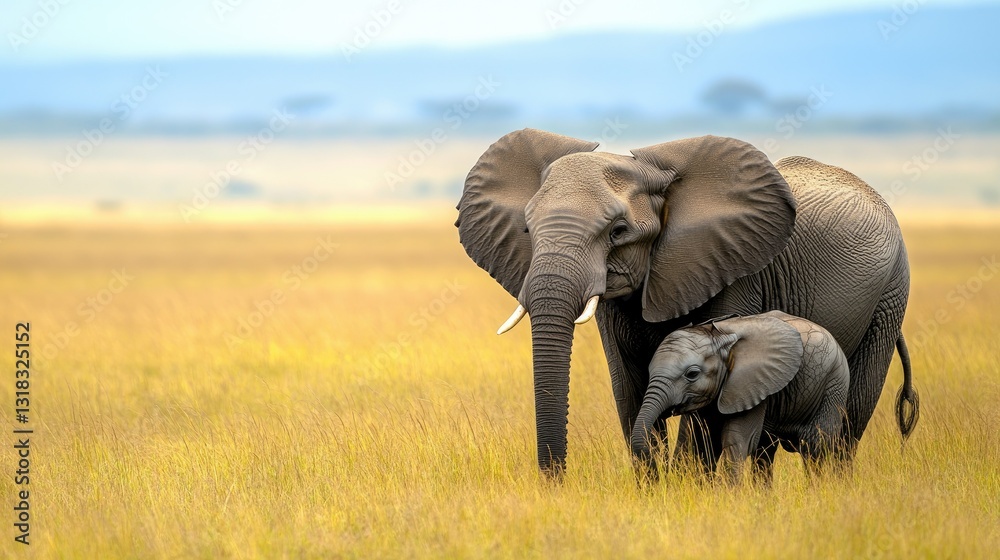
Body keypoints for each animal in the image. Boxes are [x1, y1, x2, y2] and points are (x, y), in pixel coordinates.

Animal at [630, 311, 918, 483]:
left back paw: (818, 495)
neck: (719, 334)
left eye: (692, 374)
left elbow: (736, 442)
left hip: (834, 384)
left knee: (815, 448)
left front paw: (728, 500)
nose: (656, 473)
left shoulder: (751, 384)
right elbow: (703, 441)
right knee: (764, 453)